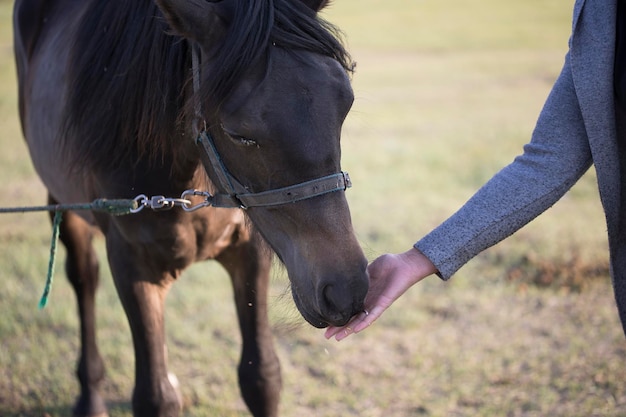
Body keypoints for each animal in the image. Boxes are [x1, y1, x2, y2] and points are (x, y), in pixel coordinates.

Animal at [12, 0, 368, 416]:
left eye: (345, 105)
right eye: (239, 134)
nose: (345, 290)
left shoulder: (249, 249)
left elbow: (261, 377)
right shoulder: (133, 265)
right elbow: (155, 397)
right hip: (61, 201)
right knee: (84, 277)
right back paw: (90, 396)